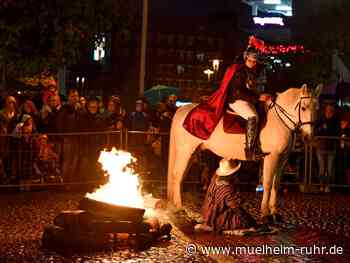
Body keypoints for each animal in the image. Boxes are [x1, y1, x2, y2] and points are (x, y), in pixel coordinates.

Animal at [167, 85, 320, 223]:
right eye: (303, 107)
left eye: (317, 108)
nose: (309, 137)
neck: (279, 121)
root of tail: (183, 109)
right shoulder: (272, 157)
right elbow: (267, 184)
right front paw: (265, 214)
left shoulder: (283, 159)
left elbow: (276, 185)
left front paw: (275, 213)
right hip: (185, 150)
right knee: (177, 175)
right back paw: (179, 207)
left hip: (192, 152)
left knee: (180, 176)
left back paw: (176, 205)